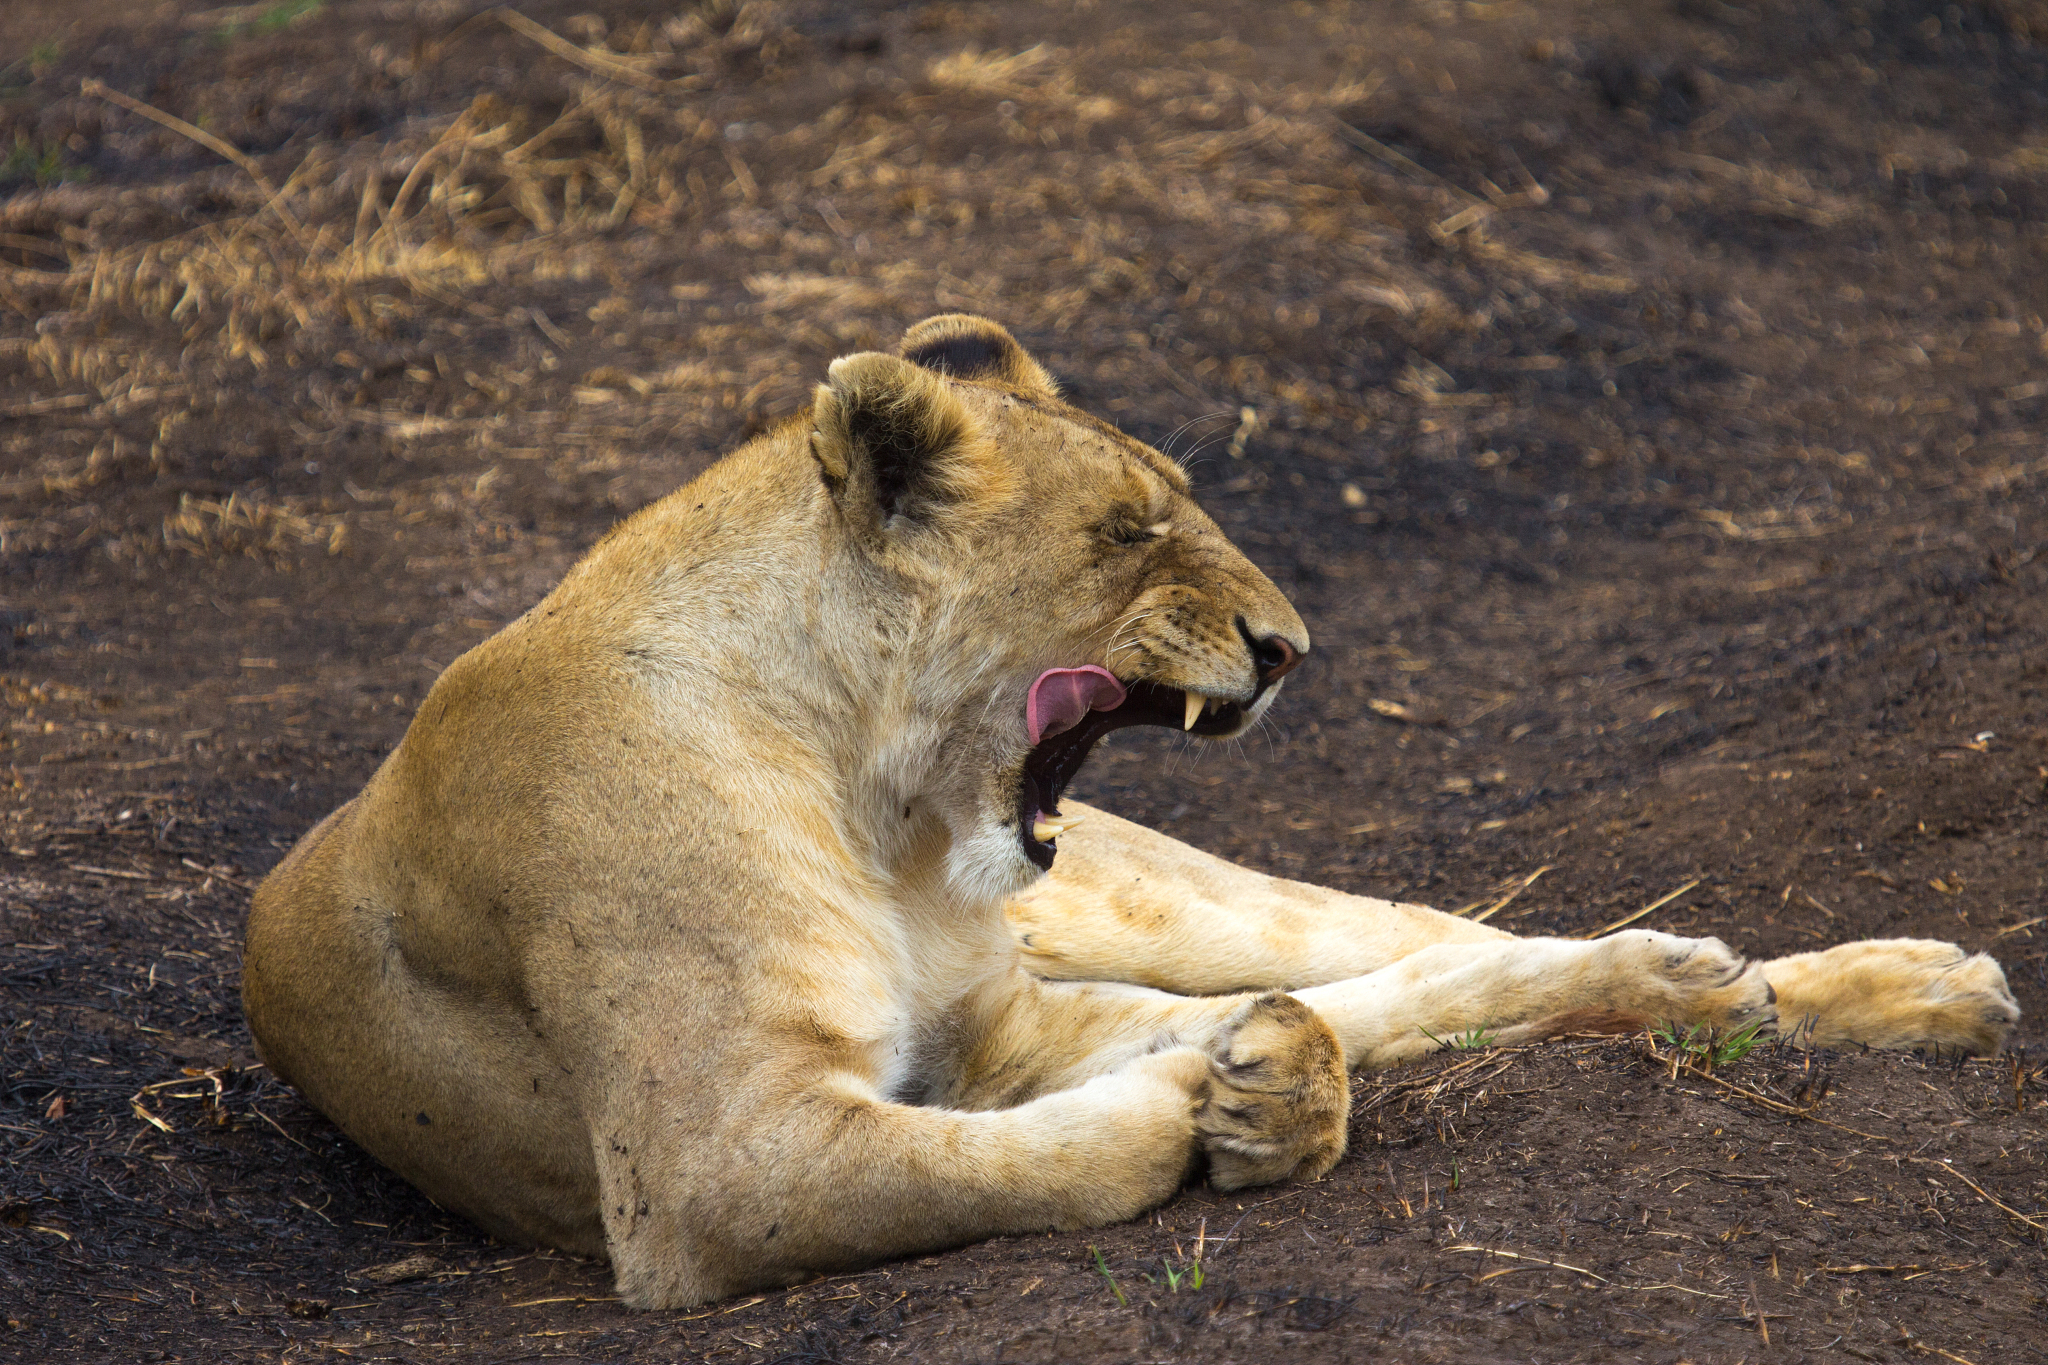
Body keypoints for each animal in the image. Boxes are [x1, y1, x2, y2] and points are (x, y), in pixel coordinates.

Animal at [243, 315, 2019, 1309]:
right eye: (1124, 531)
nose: (1291, 647)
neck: (876, 801)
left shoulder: (989, 1024)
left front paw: (1257, 1087)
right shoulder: (711, 1167)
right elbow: (998, 1166)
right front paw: (1218, 1100)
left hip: (1153, 889)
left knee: (1427, 939)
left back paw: (1868, 985)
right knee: (1403, 983)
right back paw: (1715, 990)